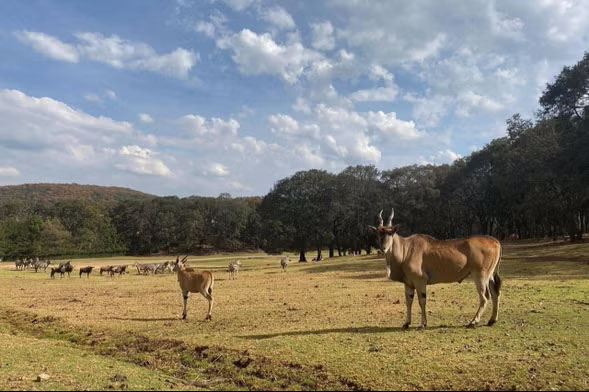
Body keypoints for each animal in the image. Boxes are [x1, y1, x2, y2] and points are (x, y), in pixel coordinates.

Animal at [368, 207, 500, 330]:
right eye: (378, 234)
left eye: (391, 233)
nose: (383, 249)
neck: (406, 249)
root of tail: (495, 242)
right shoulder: (408, 283)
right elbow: (408, 301)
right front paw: (406, 323)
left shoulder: (420, 281)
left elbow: (422, 300)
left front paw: (423, 324)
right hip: (489, 276)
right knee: (495, 293)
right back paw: (491, 321)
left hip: (480, 276)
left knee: (485, 297)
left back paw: (473, 322)